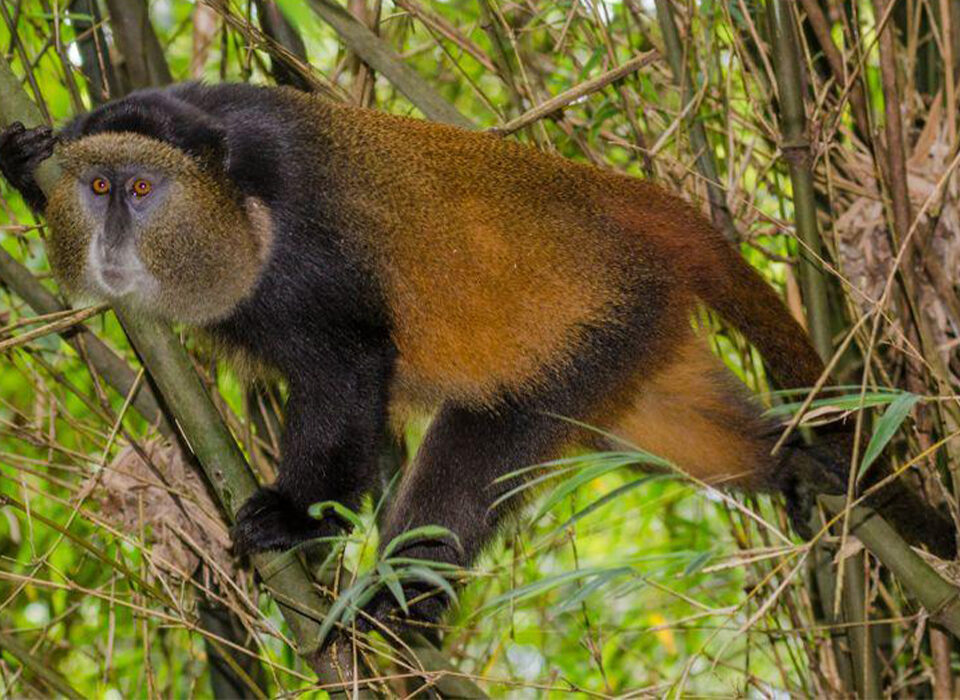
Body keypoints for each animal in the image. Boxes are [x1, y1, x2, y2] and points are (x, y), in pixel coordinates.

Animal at [0, 82, 954, 641]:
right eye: (95, 187)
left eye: (141, 189)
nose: (111, 237)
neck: (230, 193)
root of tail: (632, 201)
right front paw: (21, 162)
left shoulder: (306, 258)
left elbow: (352, 372)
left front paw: (299, 520)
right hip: (629, 342)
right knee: (687, 427)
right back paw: (800, 462)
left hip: (585, 334)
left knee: (474, 457)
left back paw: (395, 609)